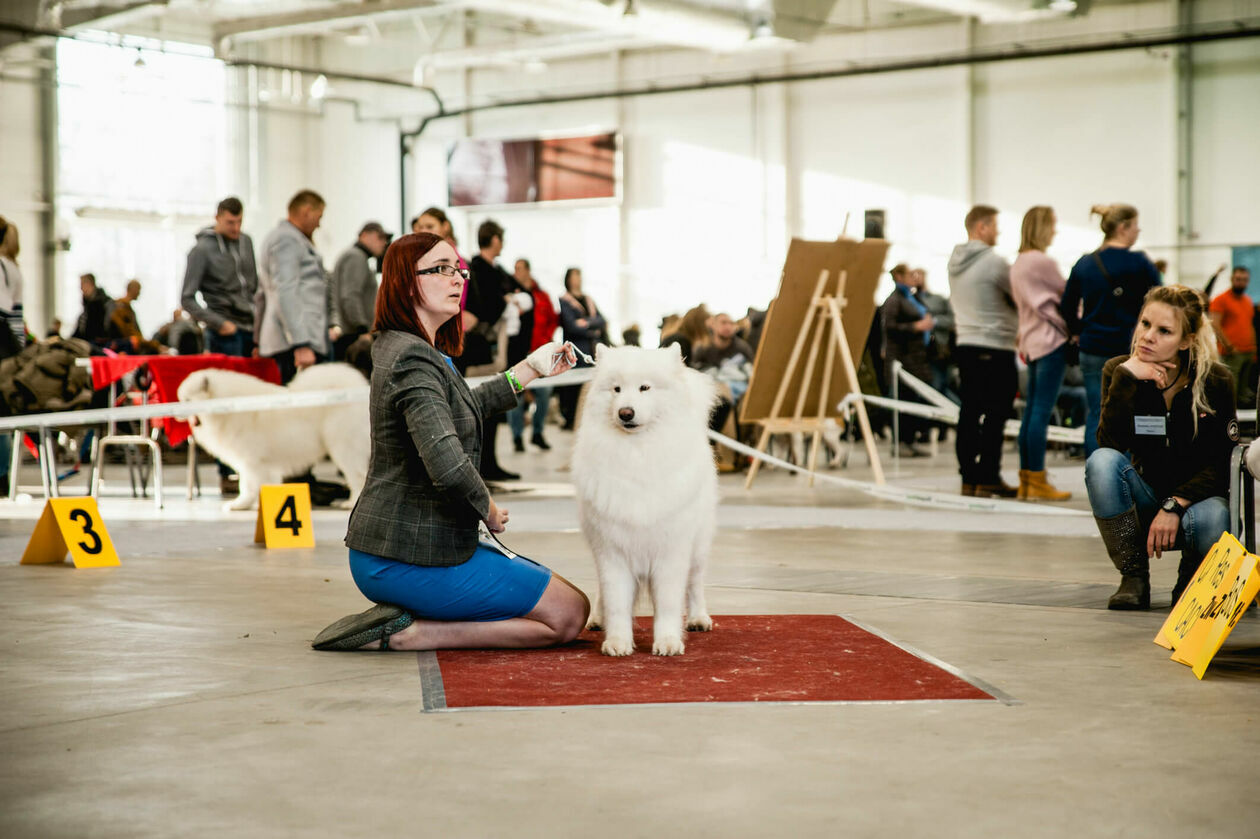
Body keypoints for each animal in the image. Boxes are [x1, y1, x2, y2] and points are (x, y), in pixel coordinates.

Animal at [177, 363, 369, 512]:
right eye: (181, 399)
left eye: (187, 400)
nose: (176, 415)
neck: (224, 408)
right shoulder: (263, 463)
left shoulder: (250, 461)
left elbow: (246, 486)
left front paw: (240, 505)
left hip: (343, 447)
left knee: (358, 476)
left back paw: (350, 503)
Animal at [572, 344, 719, 656]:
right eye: (616, 389)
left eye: (644, 388)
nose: (625, 412)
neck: (636, 453)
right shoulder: (611, 551)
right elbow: (616, 601)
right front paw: (617, 642)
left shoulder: (671, 551)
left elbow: (668, 603)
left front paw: (668, 641)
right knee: (601, 590)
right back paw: (597, 618)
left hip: (698, 546)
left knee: (695, 583)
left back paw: (699, 619)